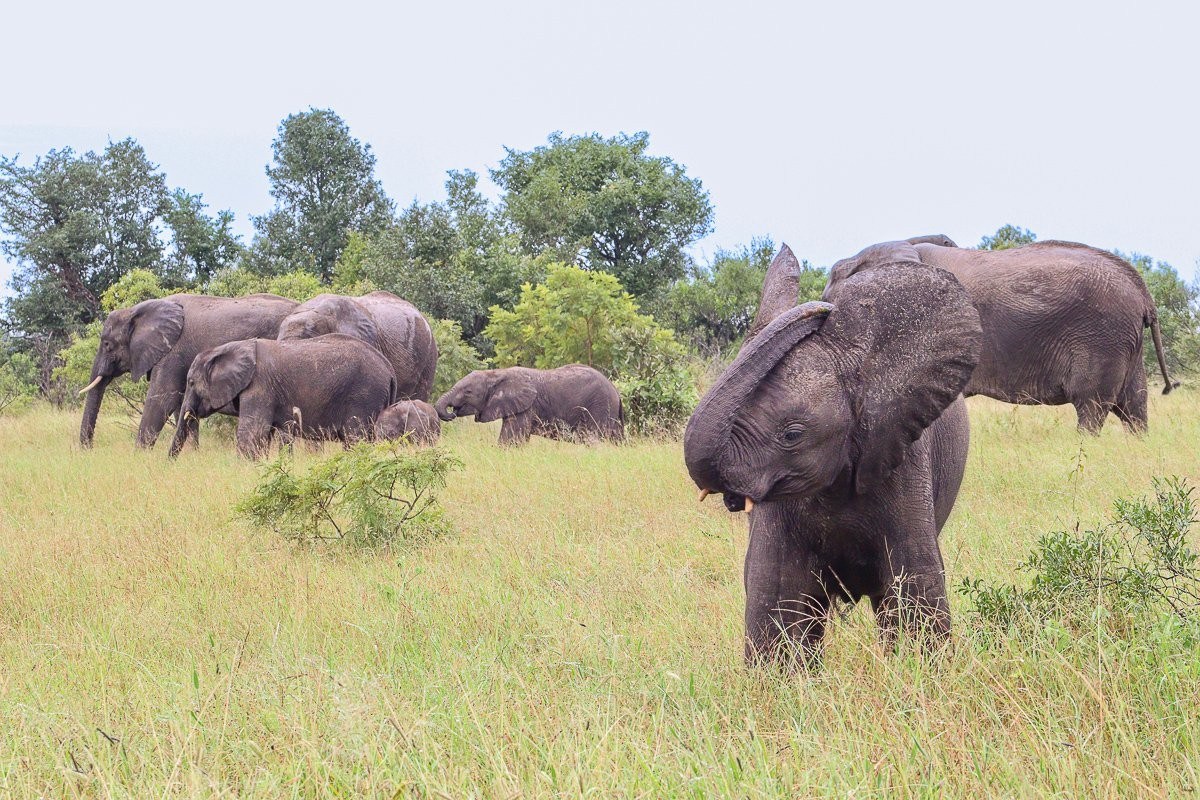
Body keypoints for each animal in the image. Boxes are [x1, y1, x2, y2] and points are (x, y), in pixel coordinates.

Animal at [79, 293, 297, 449]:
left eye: (107, 345)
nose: (88, 450)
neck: (135, 311)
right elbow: (182, 406)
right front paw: (193, 455)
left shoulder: (173, 352)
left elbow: (162, 399)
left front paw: (138, 457)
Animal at [168, 334, 397, 459]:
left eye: (191, 383)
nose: (169, 464)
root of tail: (389, 369)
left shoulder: (259, 386)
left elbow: (251, 434)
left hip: (364, 394)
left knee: (355, 440)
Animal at [436, 365, 624, 445]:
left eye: (468, 391)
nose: (451, 412)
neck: (497, 373)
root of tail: (616, 391)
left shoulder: (527, 407)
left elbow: (511, 440)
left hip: (599, 406)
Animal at [825, 237, 1177, 433]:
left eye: (833, 282)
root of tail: (1143, 292)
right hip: (1125, 343)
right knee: (1134, 407)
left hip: (1103, 337)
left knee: (1092, 406)